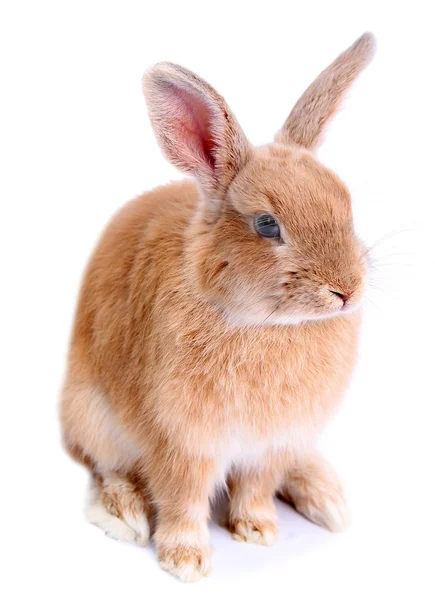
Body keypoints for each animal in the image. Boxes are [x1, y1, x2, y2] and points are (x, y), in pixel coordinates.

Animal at [59, 32, 376, 580]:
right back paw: (126, 512)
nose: (347, 291)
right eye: (268, 225)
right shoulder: (181, 440)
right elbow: (183, 498)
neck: (264, 323)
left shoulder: (272, 443)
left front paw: (258, 531)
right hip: (90, 415)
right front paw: (186, 560)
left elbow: (257, 487)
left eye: (346, 205)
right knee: (107, 468)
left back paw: (326, 496)